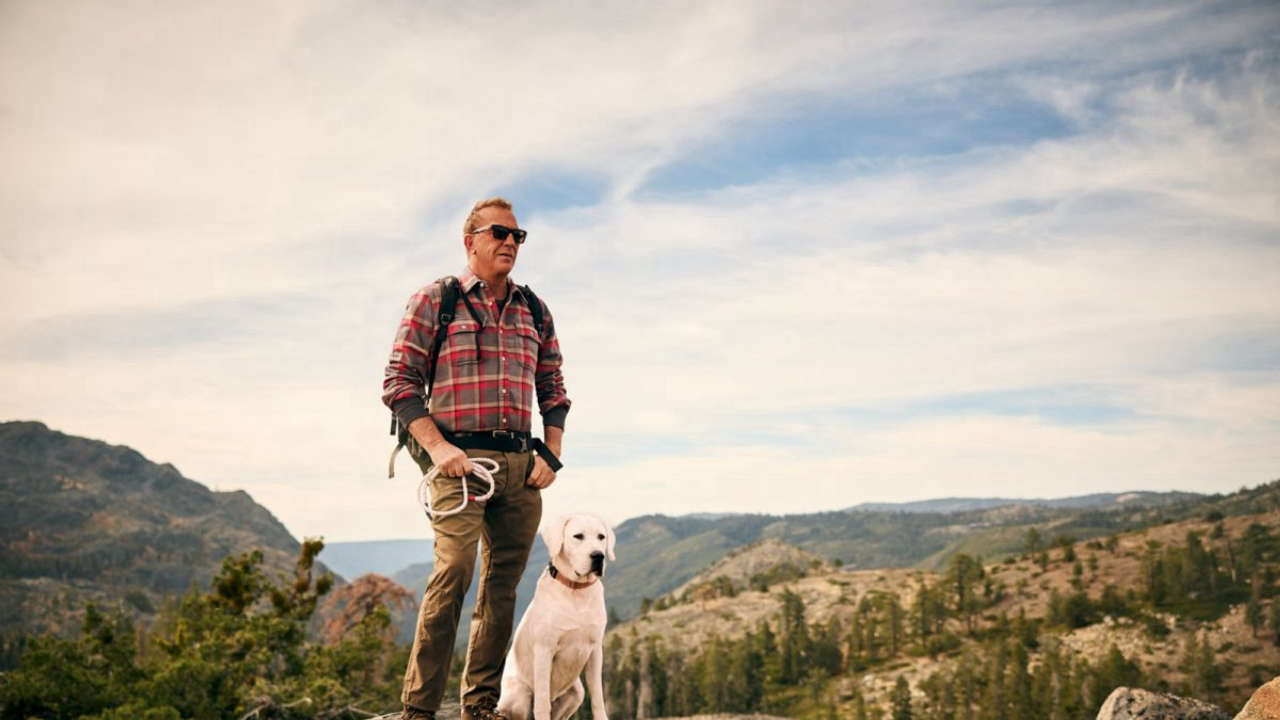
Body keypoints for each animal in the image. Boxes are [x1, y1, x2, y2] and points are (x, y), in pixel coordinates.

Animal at [496, 509, 616, 717]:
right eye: (578, 536)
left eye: (601, 537)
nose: (598, 556)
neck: (576, 592)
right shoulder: (545, 650)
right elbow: (542, 703)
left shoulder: (595, 650)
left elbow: (598, 699)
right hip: (520, 695)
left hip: (576, 693)